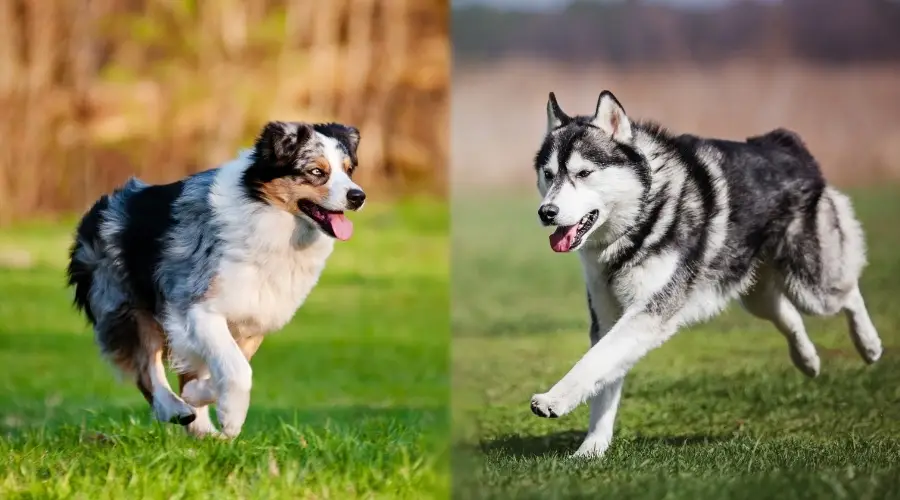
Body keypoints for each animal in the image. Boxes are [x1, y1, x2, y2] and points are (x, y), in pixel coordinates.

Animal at [66, 121, 366, 438]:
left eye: (349, 170)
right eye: (317, 171)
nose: (358, 196)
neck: (267, 216)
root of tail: (97, 211)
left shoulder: (253, 318)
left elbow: (225, 367)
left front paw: (201, 396)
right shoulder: (198, 308)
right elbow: (239, 370)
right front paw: (231, 418)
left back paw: (200, 427)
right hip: (124, 306)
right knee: (147, 370)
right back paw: (173, 409)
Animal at [532, 92, 884, 458]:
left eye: (584, 172)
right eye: (548, 174)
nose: (546, 212)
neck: (640, 220)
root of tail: (784, 141)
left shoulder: (649, 313)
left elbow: (593, 362)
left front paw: (553, 399)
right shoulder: (606, 317)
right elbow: (603, 378)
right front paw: (592, 448)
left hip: (811, 284)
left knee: (848, 292)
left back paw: (869, 345)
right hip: (755, 292)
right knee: (786, 314)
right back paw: (807, 360)